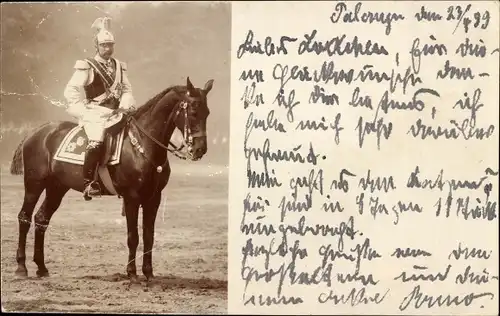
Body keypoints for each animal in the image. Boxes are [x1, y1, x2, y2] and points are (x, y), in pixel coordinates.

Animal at [8, 77, 214, 286]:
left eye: (207, 113)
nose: (200, 149)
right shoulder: (131, 198)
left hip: (56, 187)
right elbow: (133, 237)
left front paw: (149, 274)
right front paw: (132, 274)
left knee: (41, 218)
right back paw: (21, 268)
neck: (141, 144)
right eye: (194, 112)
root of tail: (36, 132)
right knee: (24, 217)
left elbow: (149, 237)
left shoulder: (153, 198)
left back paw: (42, 268)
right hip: (34, 184)